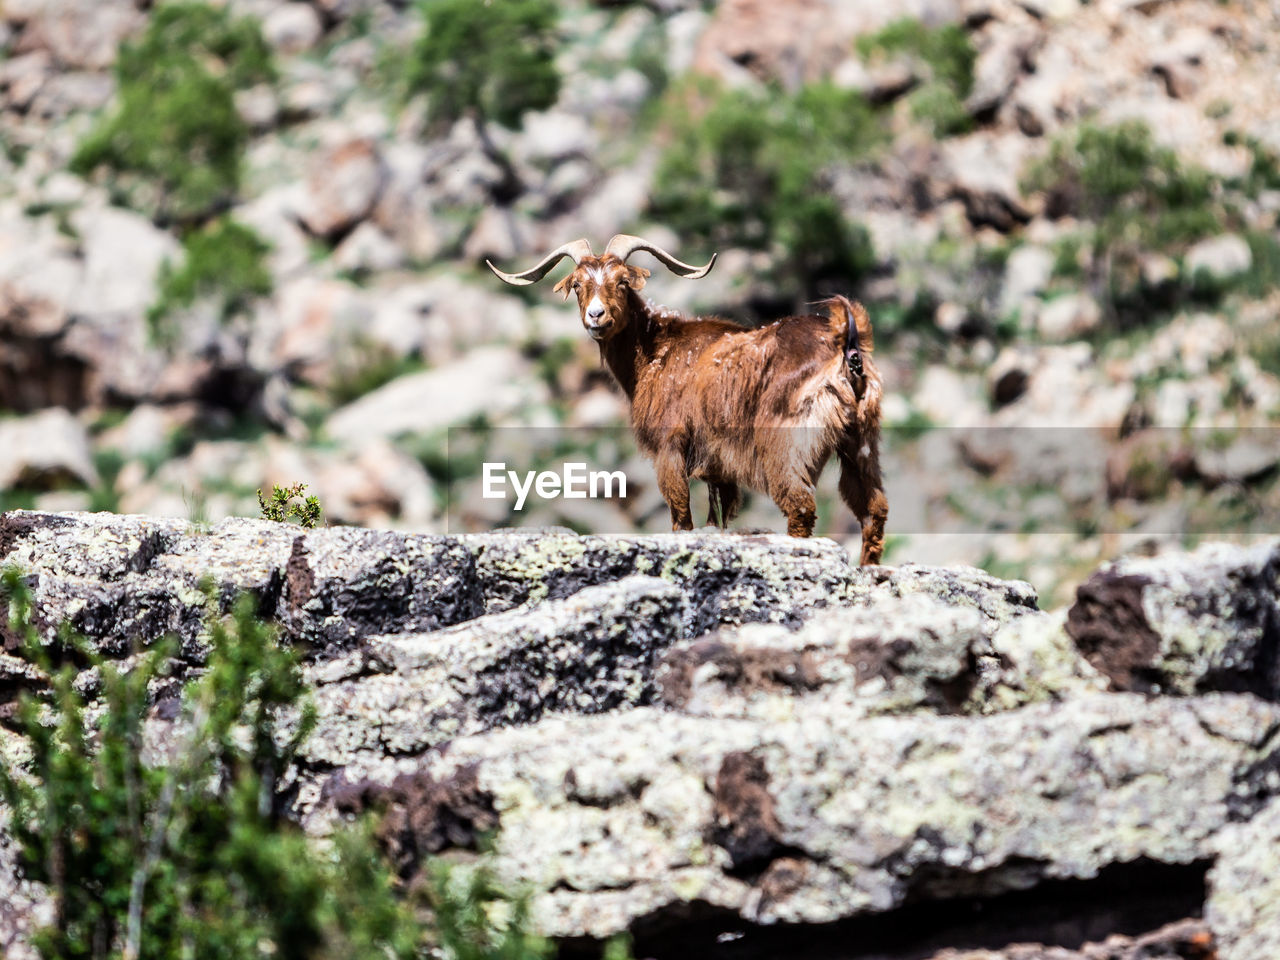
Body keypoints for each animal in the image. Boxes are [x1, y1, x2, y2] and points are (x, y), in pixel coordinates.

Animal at [483, 235, 885, 563]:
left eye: (622, 282)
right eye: (579, 284)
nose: (596, 316)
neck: (656, 350)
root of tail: (844, 343)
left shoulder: (670, 447)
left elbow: (681, 516)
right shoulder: (718, 467)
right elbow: (716, 517)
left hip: (787, 442)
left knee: (800, 505)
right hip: (861, 439)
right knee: (873, 509)